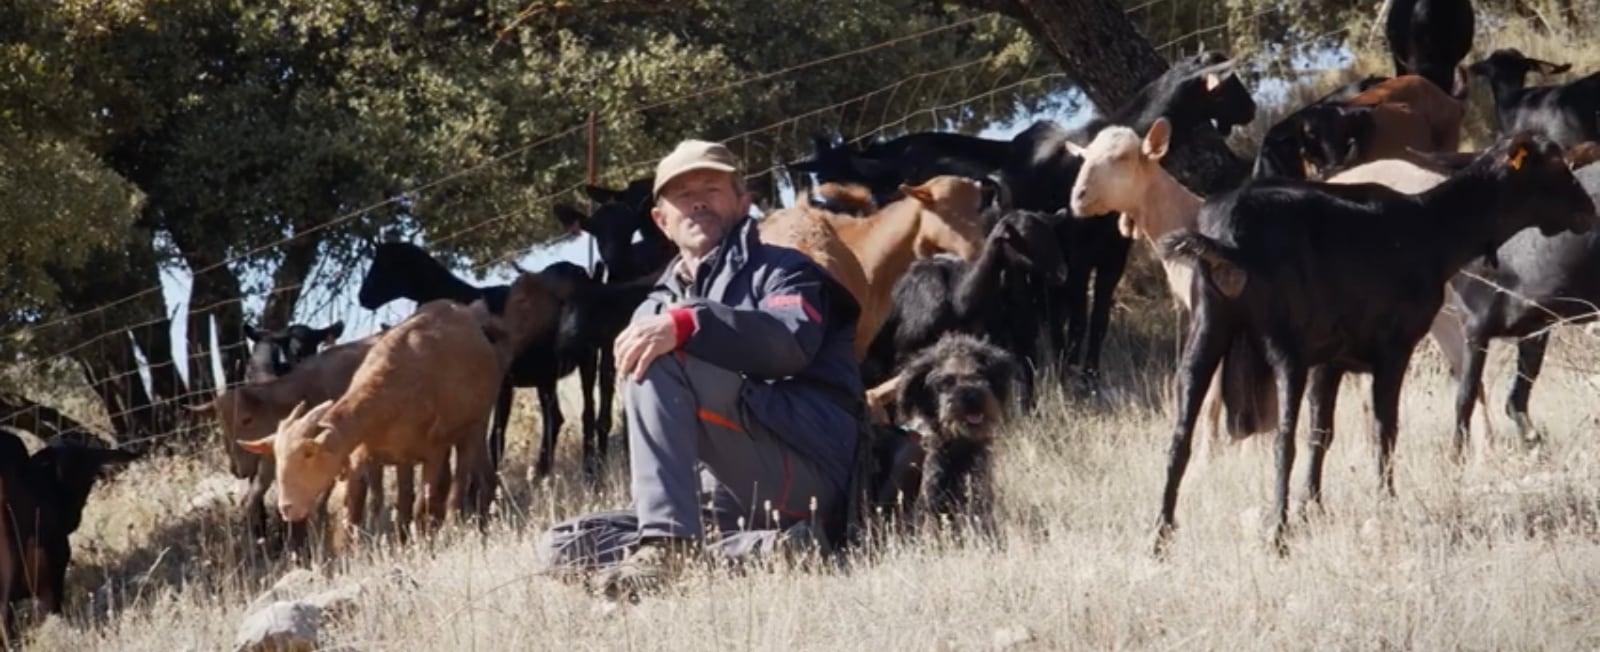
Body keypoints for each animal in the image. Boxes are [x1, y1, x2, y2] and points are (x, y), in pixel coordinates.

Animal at [236, 270, 563, 540]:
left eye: (308, 453)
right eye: (277, 456)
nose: (287, 508)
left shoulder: (433, 450)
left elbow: (421, 501)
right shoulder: (380, 454)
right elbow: (375, 507)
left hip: (473, 424)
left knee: (460, 477)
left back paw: (459, 521)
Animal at [1158, 131, 1593, 556]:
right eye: (1554, 165)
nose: (1589, 210)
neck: (1432, 228)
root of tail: (1228, 239)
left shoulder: (1330, 359)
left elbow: (1321, 434)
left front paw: (1312, 507)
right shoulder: (1392, 348)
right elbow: (1384, 429)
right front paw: (1385, 502)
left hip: (1208, 331)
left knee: (1179, 438)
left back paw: (1160, 537)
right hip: (1284, 348)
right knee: (1282, 441)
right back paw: (1277, 536)